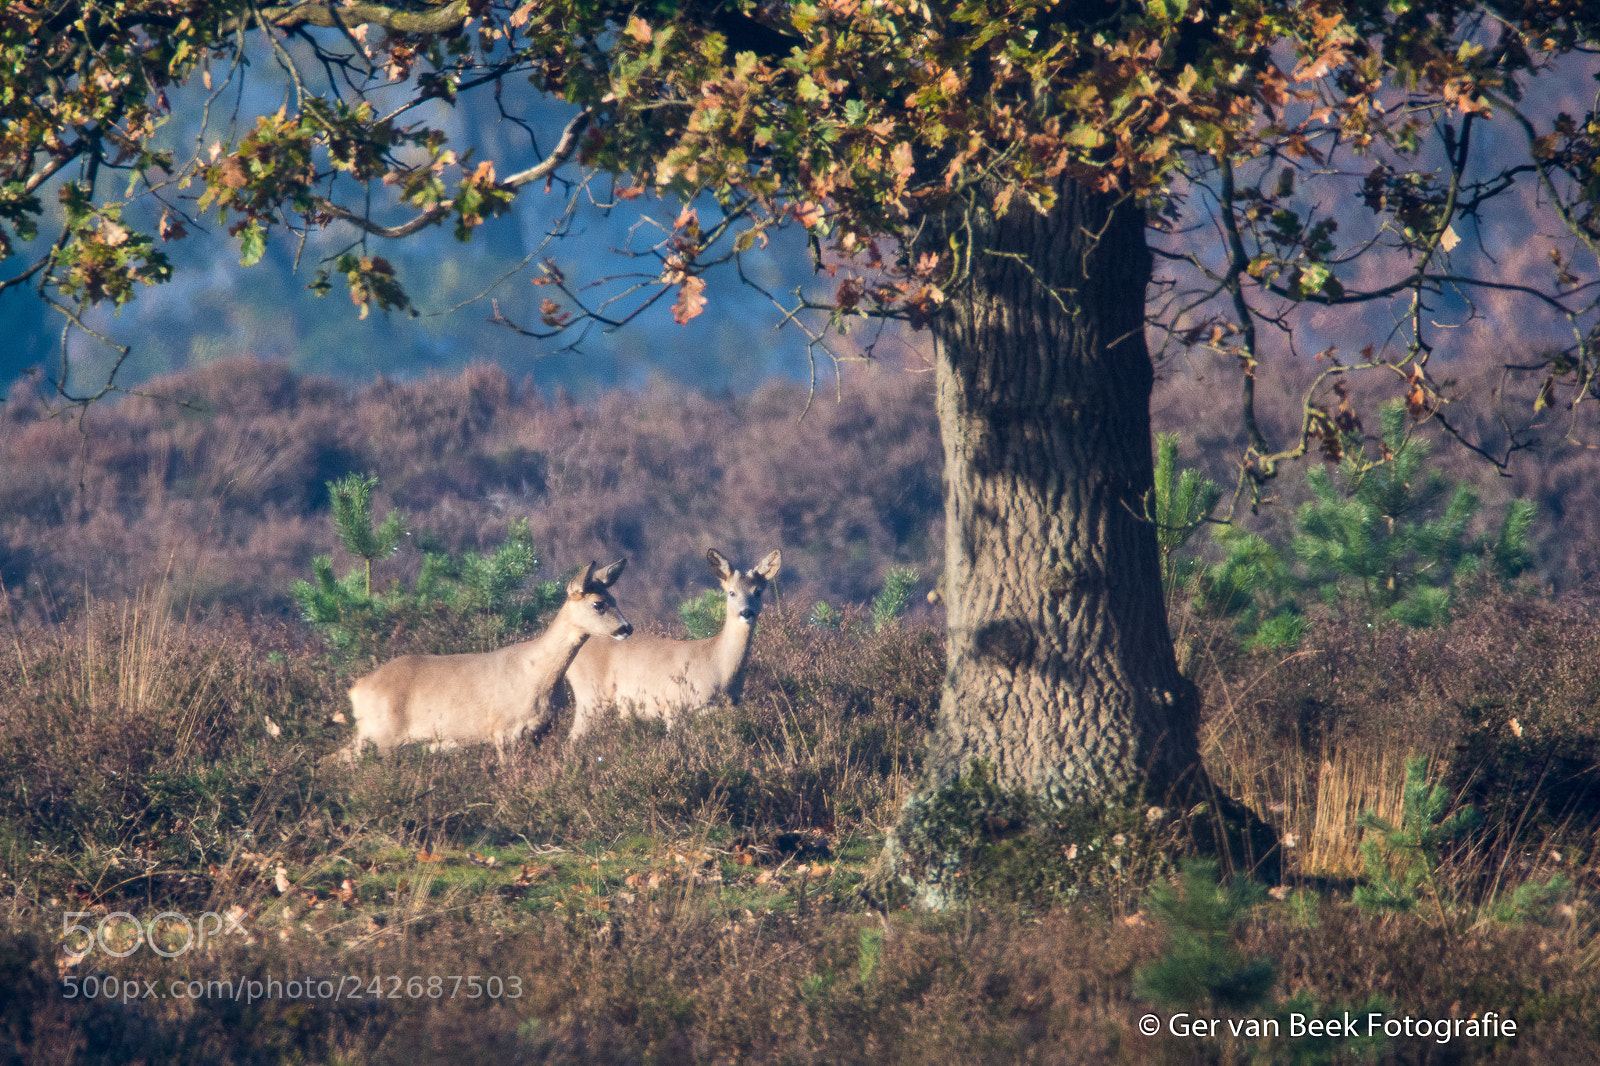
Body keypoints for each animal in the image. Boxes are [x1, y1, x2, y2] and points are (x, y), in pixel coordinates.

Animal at [346, 559, 631, 761]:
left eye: (615, 599)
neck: (537, 675)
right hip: (384, 735)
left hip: (369, 733)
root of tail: (357, 688)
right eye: (598, 604)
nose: (626, 628)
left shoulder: (543, 731)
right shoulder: (504, 730)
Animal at [565, 548, 781, 741]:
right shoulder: (675, 706)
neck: (719, 667)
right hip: (590, 696)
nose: (746, 612)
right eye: (732, 592)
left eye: (758, 591)